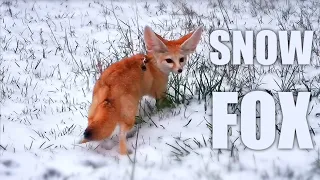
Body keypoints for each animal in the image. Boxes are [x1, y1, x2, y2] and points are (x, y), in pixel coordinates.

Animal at [80, 25, 202, 155]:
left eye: (181, 59)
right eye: (169, 60)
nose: (179, 70)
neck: (153, 65)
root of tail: (109, 86)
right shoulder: (160, 93)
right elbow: (164, 104)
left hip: (93, 116)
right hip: (129, 117)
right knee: (121, 136)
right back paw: (125, 154)